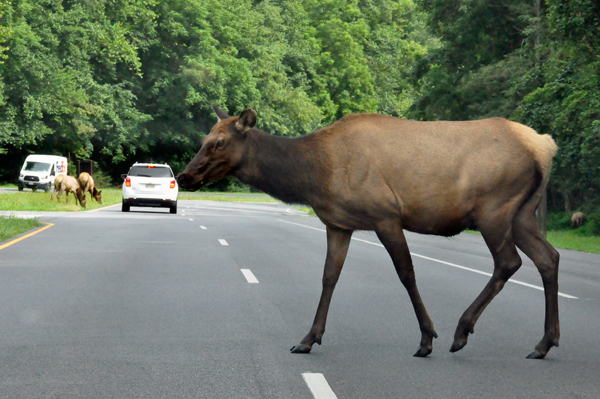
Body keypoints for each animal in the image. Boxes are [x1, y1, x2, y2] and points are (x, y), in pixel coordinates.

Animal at [176, 104, 560, 360]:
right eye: (205, 138)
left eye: (219, 142)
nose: (184, 176)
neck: (315, 176)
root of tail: (545, 146)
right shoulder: (339, 223)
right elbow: (329, 276)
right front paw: (308, 338)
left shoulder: (385, 214)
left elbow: (406, 273)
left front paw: (426, 338)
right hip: (522, 213)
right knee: (548, 257)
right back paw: (544, 343)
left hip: (494, 208)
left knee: (508, 262)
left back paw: (462, 331)